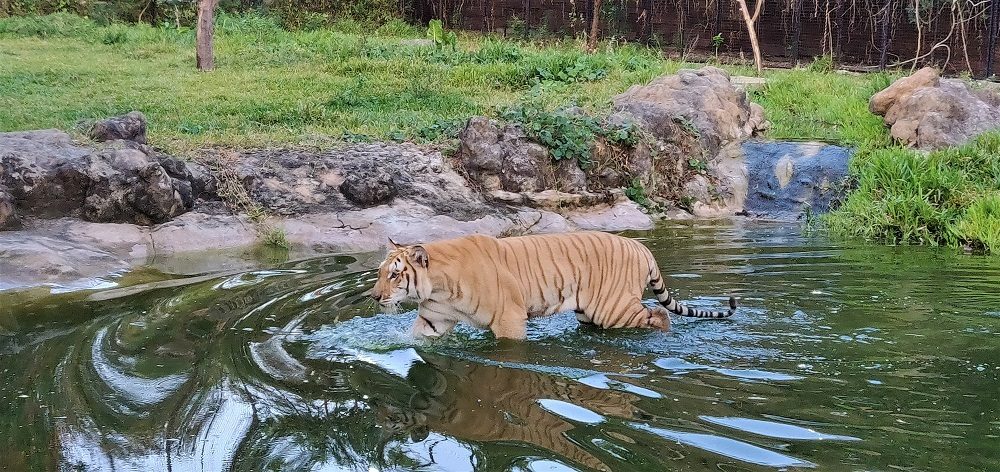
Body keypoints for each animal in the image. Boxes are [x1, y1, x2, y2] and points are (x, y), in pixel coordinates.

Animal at [368, 231, 736, 340]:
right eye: (381, 272)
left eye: (395, 275)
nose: (374, 297)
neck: (437, 286)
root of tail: (642, 247)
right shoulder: (434, 318)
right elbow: (415, 338)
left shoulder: (509, 318)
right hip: (590, 313)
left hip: (613, 309)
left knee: (660, 315)